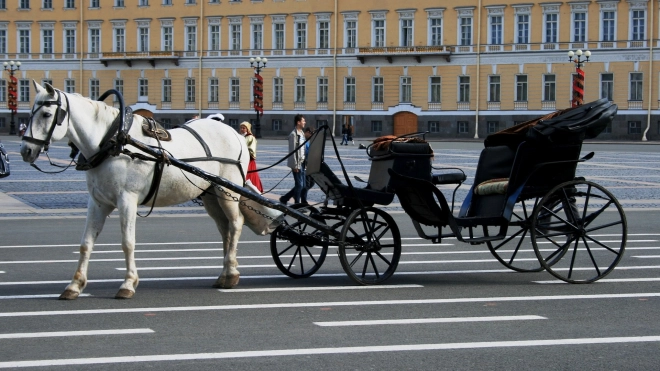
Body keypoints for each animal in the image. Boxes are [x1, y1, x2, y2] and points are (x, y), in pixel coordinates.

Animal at [20, 80, 274, 300]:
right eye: (30, 112)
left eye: (46, 114)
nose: (26, 151)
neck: (113, 142)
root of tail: (234, 133)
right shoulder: (97, 202)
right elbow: (86, 243)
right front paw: (75, 285)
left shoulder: (127, 200)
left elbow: (127, 242)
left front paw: (128, 283)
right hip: (210, 195)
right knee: (225, 229)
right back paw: (223, 274)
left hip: (226, 191)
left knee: (236, 224)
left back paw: (231, 273)